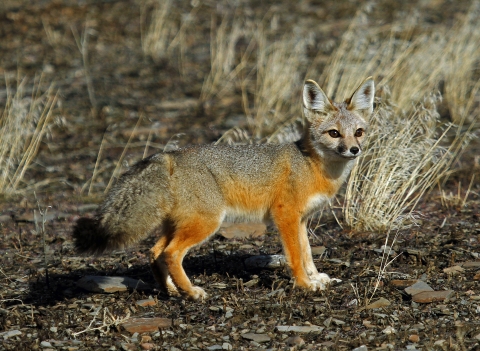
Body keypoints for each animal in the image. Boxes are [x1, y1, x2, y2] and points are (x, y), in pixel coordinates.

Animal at [74, 77, 376, 300]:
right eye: (334, 133)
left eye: (358, 132)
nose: (354, 150)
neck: (312, 165)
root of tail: (169, 155)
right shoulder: (285, 215)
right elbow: (294, 256)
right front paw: (304, 283)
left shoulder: (300, 220)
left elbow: (307, 252)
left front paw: (316, 277)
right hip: (207, 223)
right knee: (171, 254)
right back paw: (191, 292)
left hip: (180, 224)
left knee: (155, 252)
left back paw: (171, 290)